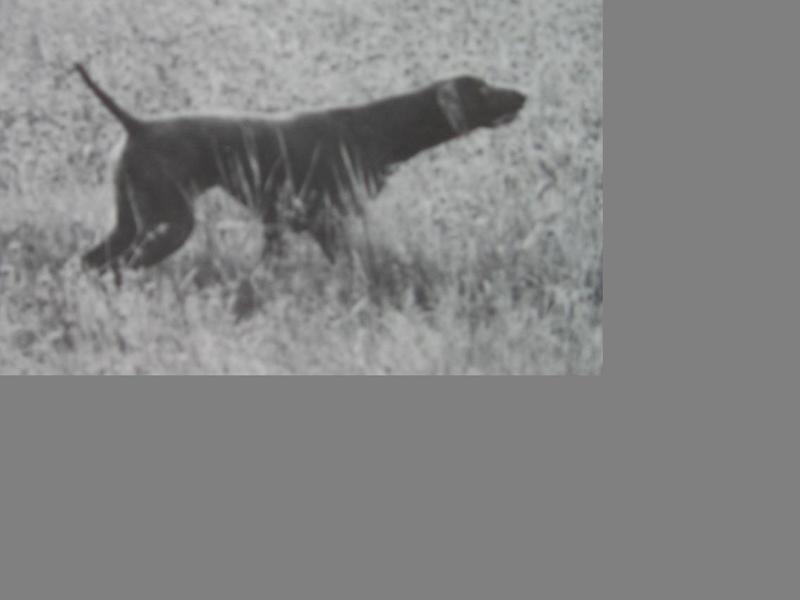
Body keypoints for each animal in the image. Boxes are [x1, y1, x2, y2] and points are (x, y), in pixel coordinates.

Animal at [74, 63, 526, 272]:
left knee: (91, 263)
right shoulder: (325, 221)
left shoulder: (281, 225)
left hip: (130, 221)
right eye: (483, 89)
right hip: (169, 224)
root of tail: (137, 124)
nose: (522, 95)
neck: (378, 125)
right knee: (119, 267)